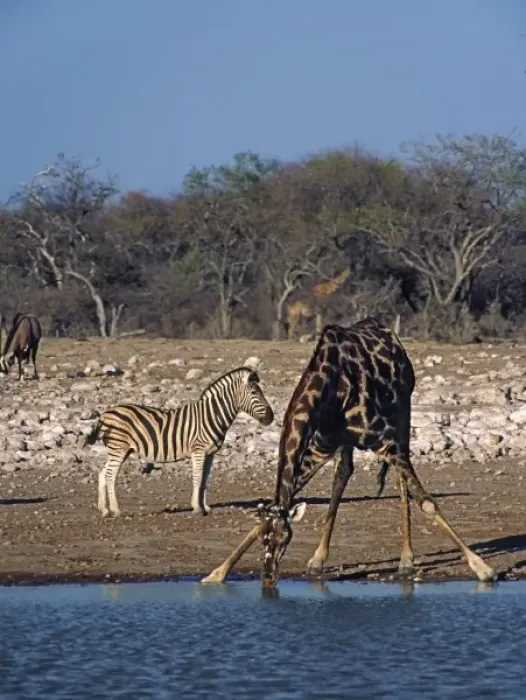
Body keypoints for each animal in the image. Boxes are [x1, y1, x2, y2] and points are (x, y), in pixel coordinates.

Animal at [84, 366, 274, 518]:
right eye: (255, 393)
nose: (271, 417)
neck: (211, 415)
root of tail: (104, 414)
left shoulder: (210, 453)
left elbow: (205, 480)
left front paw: (205, 507)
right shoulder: (198, 451)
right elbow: (197, 478)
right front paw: (197, 508)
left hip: (120, 450)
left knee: (103, 474)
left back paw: (104, 510)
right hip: (119, 448)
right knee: (110, 475)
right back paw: (116, 510)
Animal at [202, 317, 496, 588]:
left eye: (286, 537)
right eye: (264, 539)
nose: (268, 579)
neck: (329, 388)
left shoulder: (385, 440)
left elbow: (427, 502)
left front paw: (483, 568)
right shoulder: (320, 447)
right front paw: (216, 573)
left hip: (402, 414)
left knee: (401, 482)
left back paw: (406, 559)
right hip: (344, 443)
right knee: (343, 474)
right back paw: (318, 558)